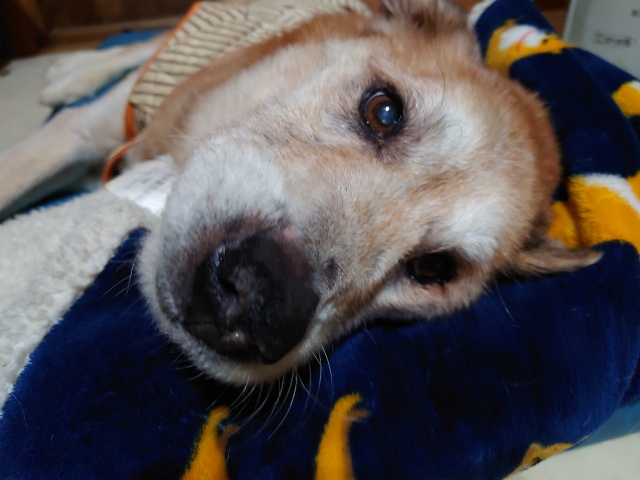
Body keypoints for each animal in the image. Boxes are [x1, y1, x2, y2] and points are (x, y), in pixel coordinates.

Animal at [1, 0, 599, 386]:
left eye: (433, 268)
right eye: (384, 110)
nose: (253, 303)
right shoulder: (80, 131)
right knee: (145, 44)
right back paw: (70, 70)